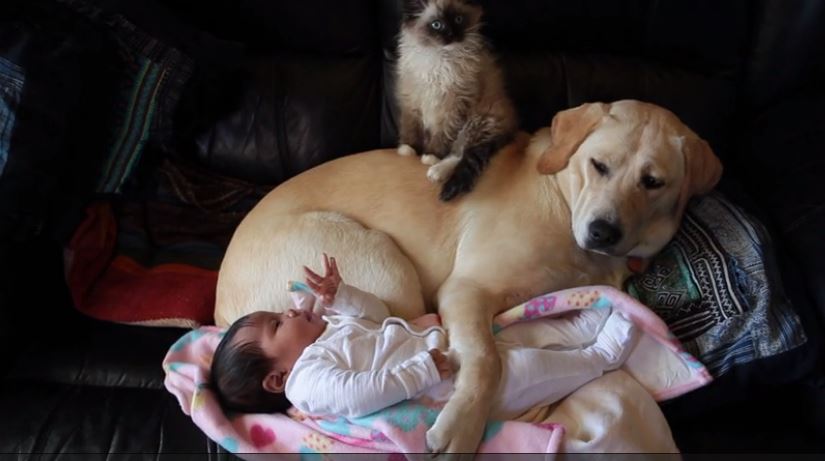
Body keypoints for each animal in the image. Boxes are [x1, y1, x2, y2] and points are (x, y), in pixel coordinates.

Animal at [214, 99, 720, 452]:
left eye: (653, 182)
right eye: (599, 165)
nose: (603, 231)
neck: (563, 202)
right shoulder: (467, 289)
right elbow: (486, 359)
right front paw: (462, 425)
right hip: (386, 262)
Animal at [394, 0, 516, 201]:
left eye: (458, 19)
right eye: (436, 25)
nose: (451, 34)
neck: (439, 58)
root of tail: (513, 125)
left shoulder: (453, 107)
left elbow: (442, 137)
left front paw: (431, 155)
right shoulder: (413, 99)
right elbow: (411, 127)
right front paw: (408, 149)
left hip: (477, 121)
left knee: (460, 152)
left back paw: (436, 171)